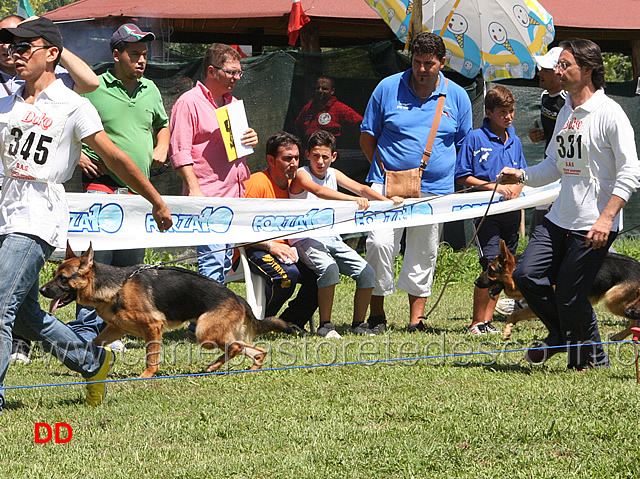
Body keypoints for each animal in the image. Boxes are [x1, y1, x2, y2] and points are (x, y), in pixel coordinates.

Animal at [37, 244, 292, 378]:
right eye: (54, 274)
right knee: (255, 349)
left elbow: (152, 356)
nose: (41, 289)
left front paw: (146, 376)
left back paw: (213, 366)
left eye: (63, 278)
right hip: (217, 334)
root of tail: (238, 298)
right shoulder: (115, 329)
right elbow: (94, 342)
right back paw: (252, 368)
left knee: (237, 347)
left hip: (205, 332)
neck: (116, 286)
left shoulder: (153, 327)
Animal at [472, 240, 640, 342]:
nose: (476, 282)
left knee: (635, 321)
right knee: (634, 322)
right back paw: (618, 337)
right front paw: (507, 330)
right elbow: (515, 314)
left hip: (613, 299)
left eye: (490, 270)